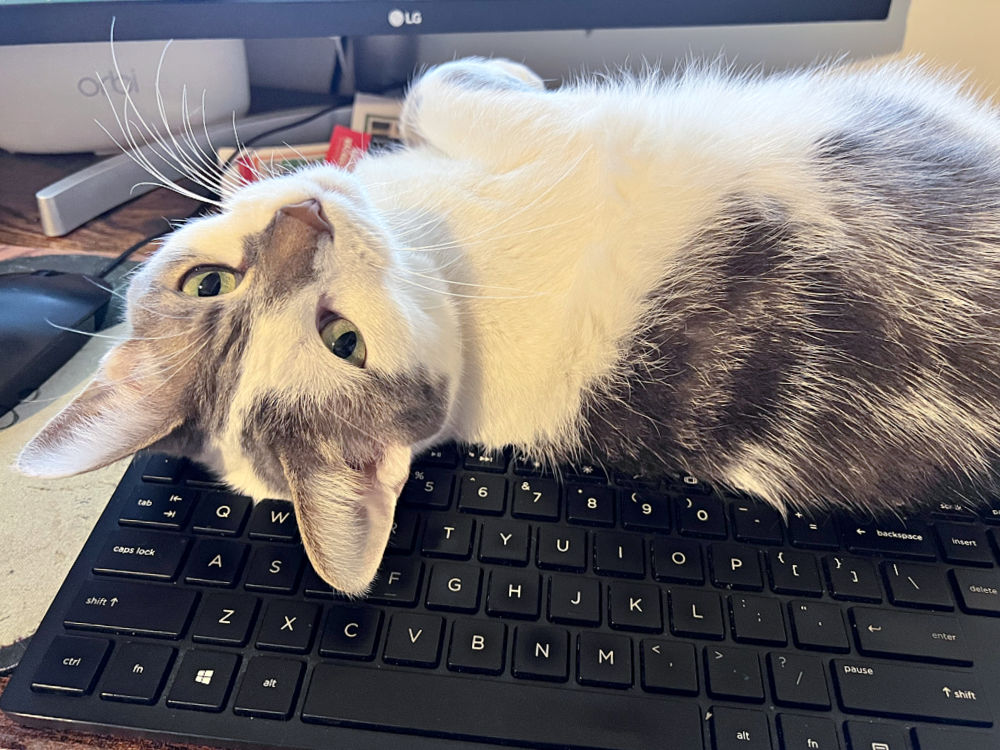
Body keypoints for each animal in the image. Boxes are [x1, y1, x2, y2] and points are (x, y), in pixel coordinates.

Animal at [15, 58, 1000, 596]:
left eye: (206, 283)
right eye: (344, 342)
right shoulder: (559, 138)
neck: (442, 258)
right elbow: (443, 84)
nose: (304, 220)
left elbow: (424, 90)